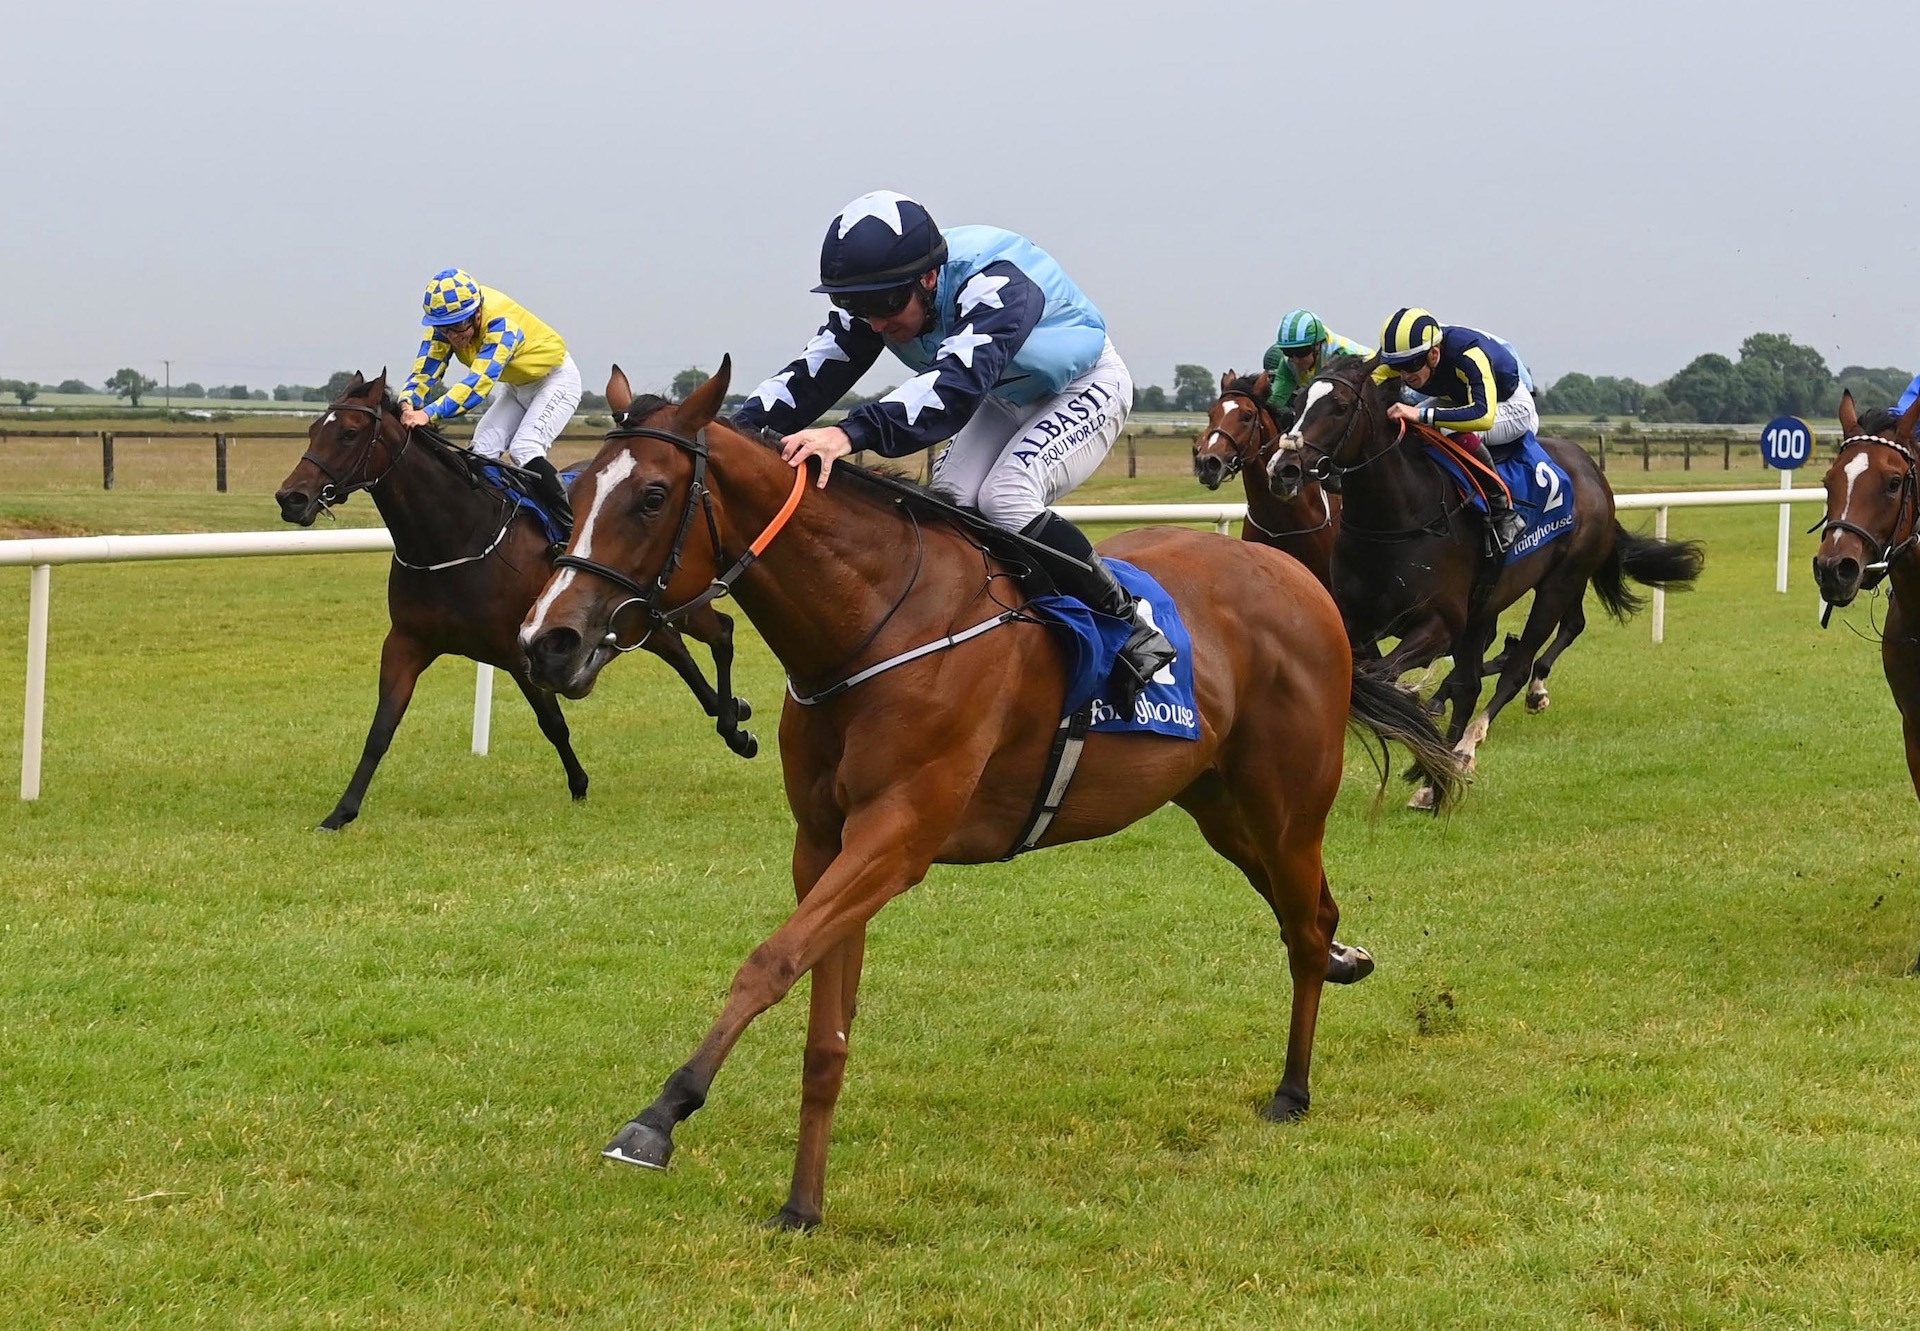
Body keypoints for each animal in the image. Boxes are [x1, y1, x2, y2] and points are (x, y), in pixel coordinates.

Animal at [278, 370, 756, 829]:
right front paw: (341, 812)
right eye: (313, 429)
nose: (291, 498)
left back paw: (733, 722)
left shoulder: (521, 649)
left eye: (349, 433)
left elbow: (553, 723)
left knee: (717, 633)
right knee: (679, 646)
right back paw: (730, 711)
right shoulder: (407, 642)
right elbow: (382, 727)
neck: (454, 538)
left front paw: (579, 785)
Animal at [1267, 353, 1704, 798]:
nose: (1283, 470)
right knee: (1482, 676)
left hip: (1560, 581)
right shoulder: (1355, 619)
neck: (1399, 516)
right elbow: (1364, 674)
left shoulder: (1439, 624)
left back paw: (1469, 744)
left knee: (1518, 667)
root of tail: (1594, 473)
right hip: (1492, 603)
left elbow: (1384, 676)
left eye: (1339, 407)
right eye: (1296, 402)